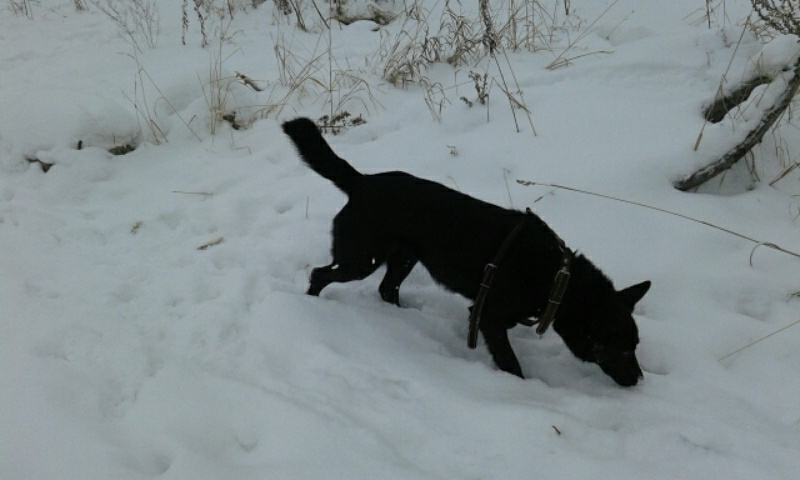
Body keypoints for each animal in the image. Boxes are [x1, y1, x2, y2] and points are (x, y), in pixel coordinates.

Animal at [282, 117, 651, 386]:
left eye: (635, 347)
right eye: (620, 349)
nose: (637, 380)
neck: (557, 280)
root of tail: (361, 182)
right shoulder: (489, 317)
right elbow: (510, 362)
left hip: (404, 257)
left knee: (386, 288)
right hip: (360, 259)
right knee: (320, 274)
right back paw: (312, 302)